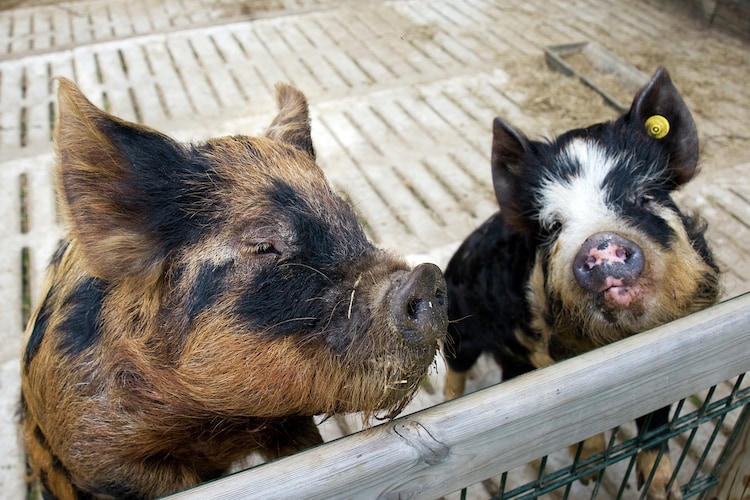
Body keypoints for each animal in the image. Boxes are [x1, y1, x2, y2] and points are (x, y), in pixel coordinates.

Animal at [20, 79, 450, 500]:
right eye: (262, 245)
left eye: (352, 221)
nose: (427, 276)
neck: (217, 423)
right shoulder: (97, 457)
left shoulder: (290, 420)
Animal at [446, 67, 724, 500]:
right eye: (553, 225)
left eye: (644, 196)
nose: (601, 243)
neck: (616, 342)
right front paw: (590, 471)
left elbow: (655, 425)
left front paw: (665, 491)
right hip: (461, 327)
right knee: (455, 372)